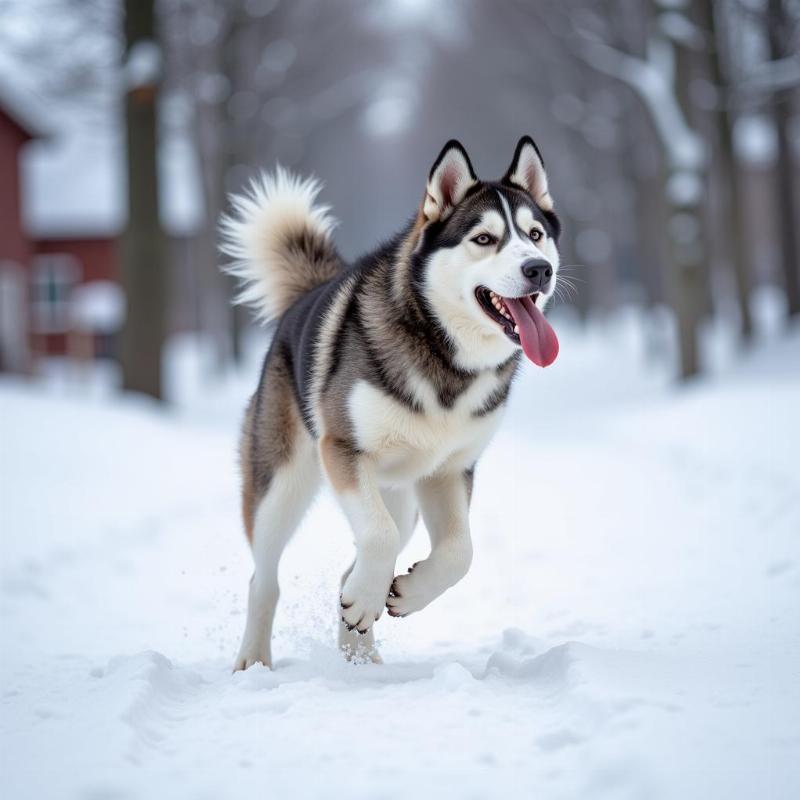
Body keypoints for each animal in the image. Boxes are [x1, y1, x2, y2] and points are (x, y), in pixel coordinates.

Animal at [220, 138, 564, 668]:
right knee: (266, 576)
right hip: (282, 485)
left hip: (399, 500)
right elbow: (378, 539)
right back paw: (256, 660)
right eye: (485, 239)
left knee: (358, 560)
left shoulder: (449, 470)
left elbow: (461, 552)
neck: (443, 353)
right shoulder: (343, 449)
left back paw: (361, 656)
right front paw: (369, 597)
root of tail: (306, 296)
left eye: (534, 234)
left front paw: (406, 593)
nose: (538, 269)